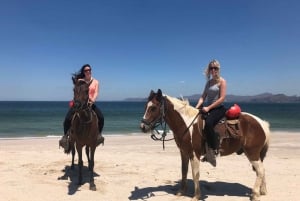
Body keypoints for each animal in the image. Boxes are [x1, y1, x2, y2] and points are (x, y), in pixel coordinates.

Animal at [139, 89, 270, 201]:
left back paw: (255, 194)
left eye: (153, 108)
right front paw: (181, 192)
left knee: (260, 170)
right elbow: (184, 171)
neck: (186, 124)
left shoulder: (194, 154)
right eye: (145, 107)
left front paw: (196, 196)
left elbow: (195, 174)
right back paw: (262, 191)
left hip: (252, 153)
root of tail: (261, 123)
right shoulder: (184, 152)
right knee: (262, 170)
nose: (143, 127)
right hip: (256, 154)